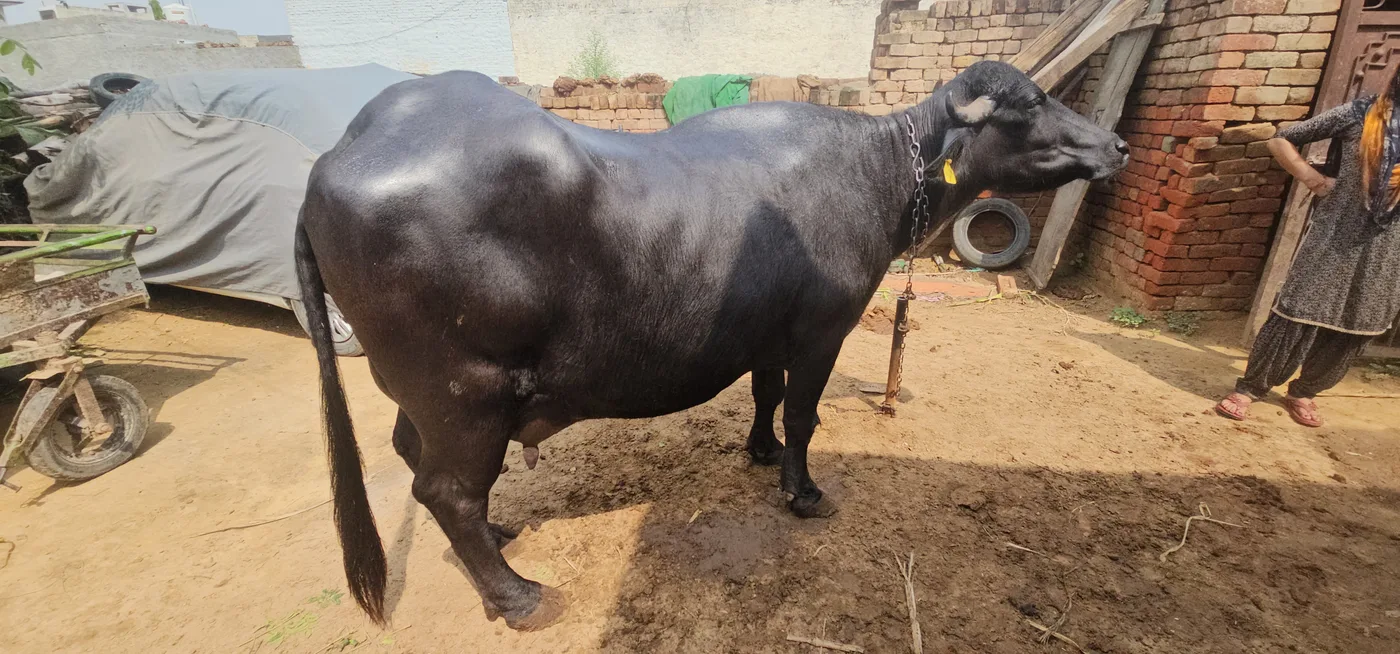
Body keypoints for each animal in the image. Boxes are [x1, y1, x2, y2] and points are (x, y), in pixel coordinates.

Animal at [295, 61, 1128, 630]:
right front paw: (802, 491)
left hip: (427, 399)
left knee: (415, 460)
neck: (878, 171)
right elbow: (803, 414)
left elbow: (766, 395)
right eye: (1030, 105)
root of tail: (333, 159)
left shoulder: (768, 334)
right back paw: (519, 595)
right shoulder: (822, 331)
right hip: (465, 393)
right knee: (444, 490)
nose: (1117, 144)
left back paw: (501, 537)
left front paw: (759, 453)